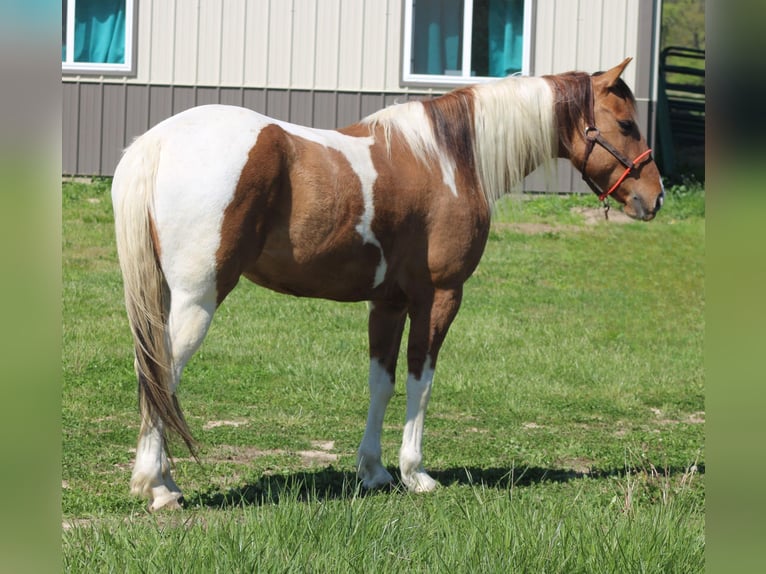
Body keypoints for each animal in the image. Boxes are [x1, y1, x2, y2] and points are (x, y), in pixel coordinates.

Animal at [112, 58, 664, 512]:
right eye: (626, 124)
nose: (655, 197)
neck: (447, 160)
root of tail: (159, 141)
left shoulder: (389, 304)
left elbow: (382, 382)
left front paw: (374, 471)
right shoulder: (439, 297)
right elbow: (422, 379)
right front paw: (415, 473)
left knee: (151, 373)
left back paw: (165, 481)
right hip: (198, 299)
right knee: (163, 374)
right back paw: (157, 487)